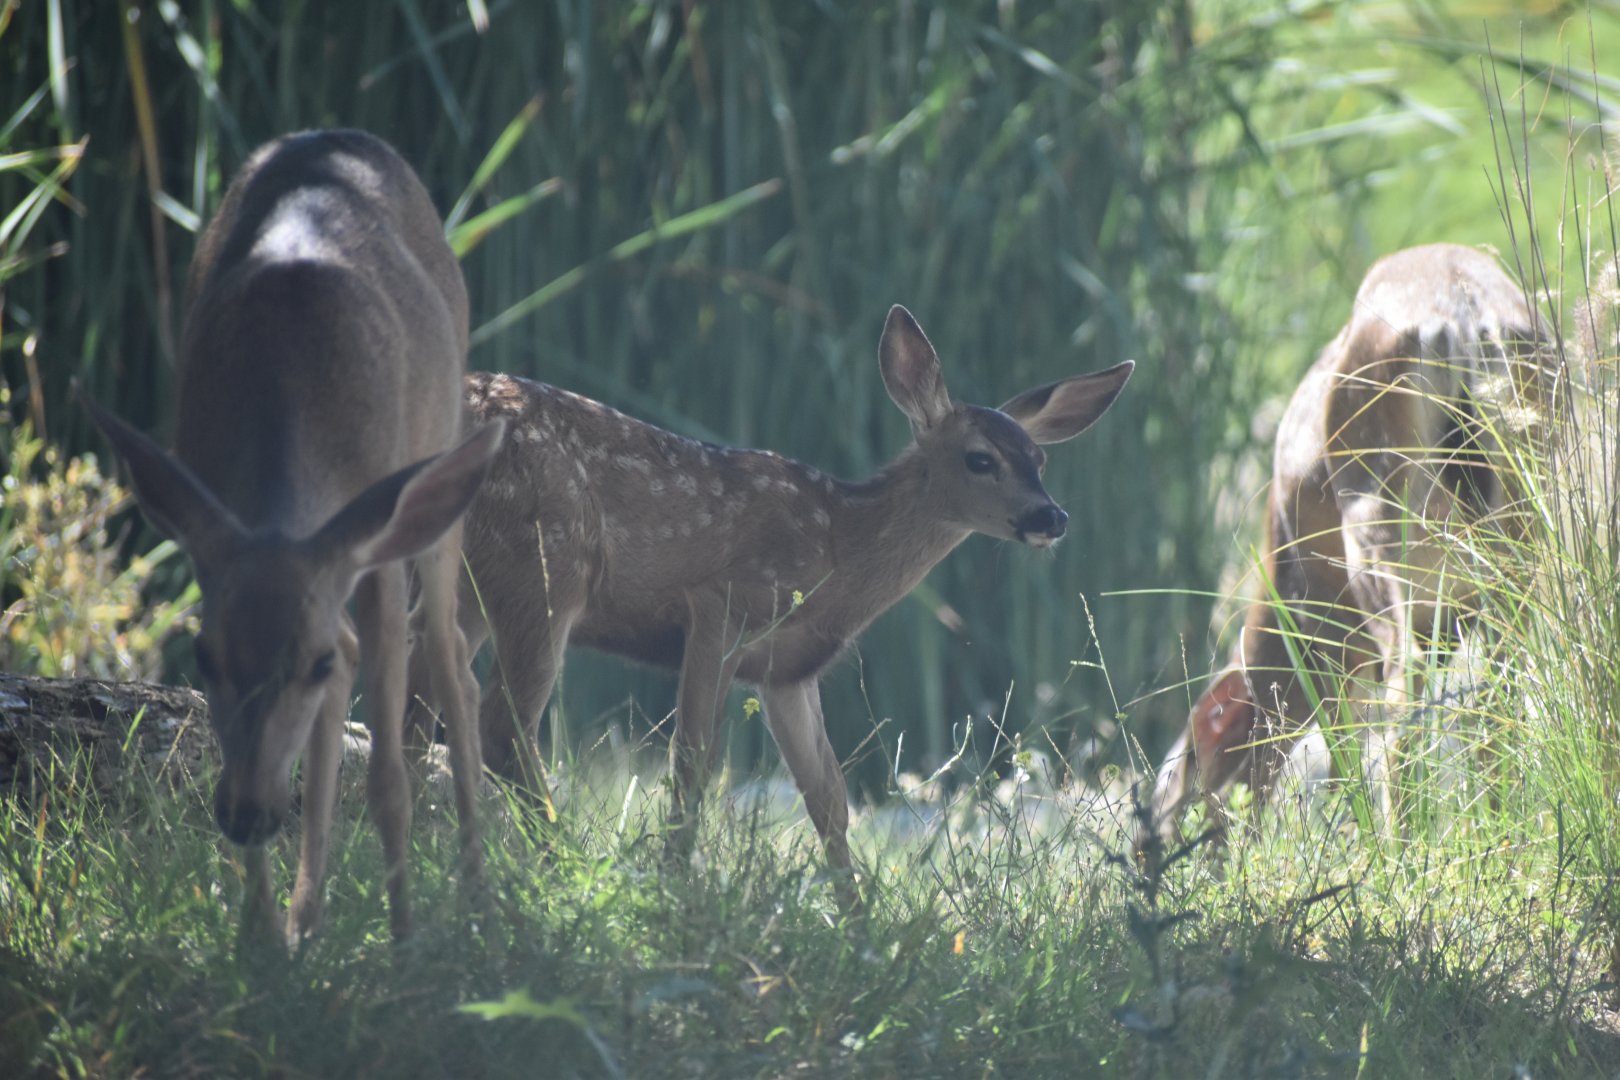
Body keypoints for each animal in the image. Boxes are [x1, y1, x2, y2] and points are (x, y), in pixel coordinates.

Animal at [82, 129, 502, 945]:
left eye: (307, 664)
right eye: (202, 658)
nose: (246, 814)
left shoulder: (372, 544)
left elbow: (391, 777)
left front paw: (406, 947)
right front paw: (261, 941)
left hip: (438, 482)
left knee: (449, 662)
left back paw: (479, 895)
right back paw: (307, 916)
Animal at [406, 306, 1132, 909]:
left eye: (1039, 459)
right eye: (980, 459)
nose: (1051, 517)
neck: (839, 548)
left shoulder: (788, 671)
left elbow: (829, 798)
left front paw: (860, 923)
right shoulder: (722, 605)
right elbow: (694, 766)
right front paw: (674, 889)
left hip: (467, 583)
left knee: (419, 708)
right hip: (548, 561)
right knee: (501, 724)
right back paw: (565, 873)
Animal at [1147, 243, 1555, 849]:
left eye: (1170, 802)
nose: (1153, 858)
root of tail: (1464, 321)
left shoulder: (1328, 625)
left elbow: (1339, 744)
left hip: (1379, 524)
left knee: (1401, 711)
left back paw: (1399, 851)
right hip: (1524, 533)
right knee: (1500, 698)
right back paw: (1500, 832)